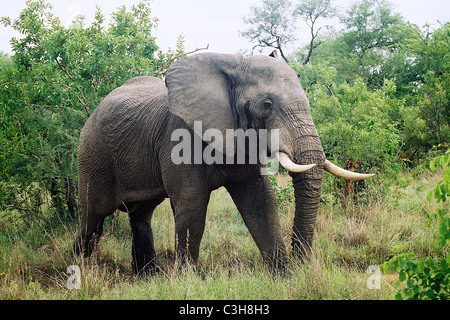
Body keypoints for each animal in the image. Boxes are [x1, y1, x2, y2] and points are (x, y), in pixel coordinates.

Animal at [73, 51, 372, 274]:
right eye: (266, 105)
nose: (303, 264)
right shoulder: (179, 136)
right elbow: (193, 206)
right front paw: (187, 281)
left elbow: (261, 203)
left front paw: (284, 277)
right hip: (92, 154)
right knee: (93, 216)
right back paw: (80, 269)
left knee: (141, 214)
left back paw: (148, 276)